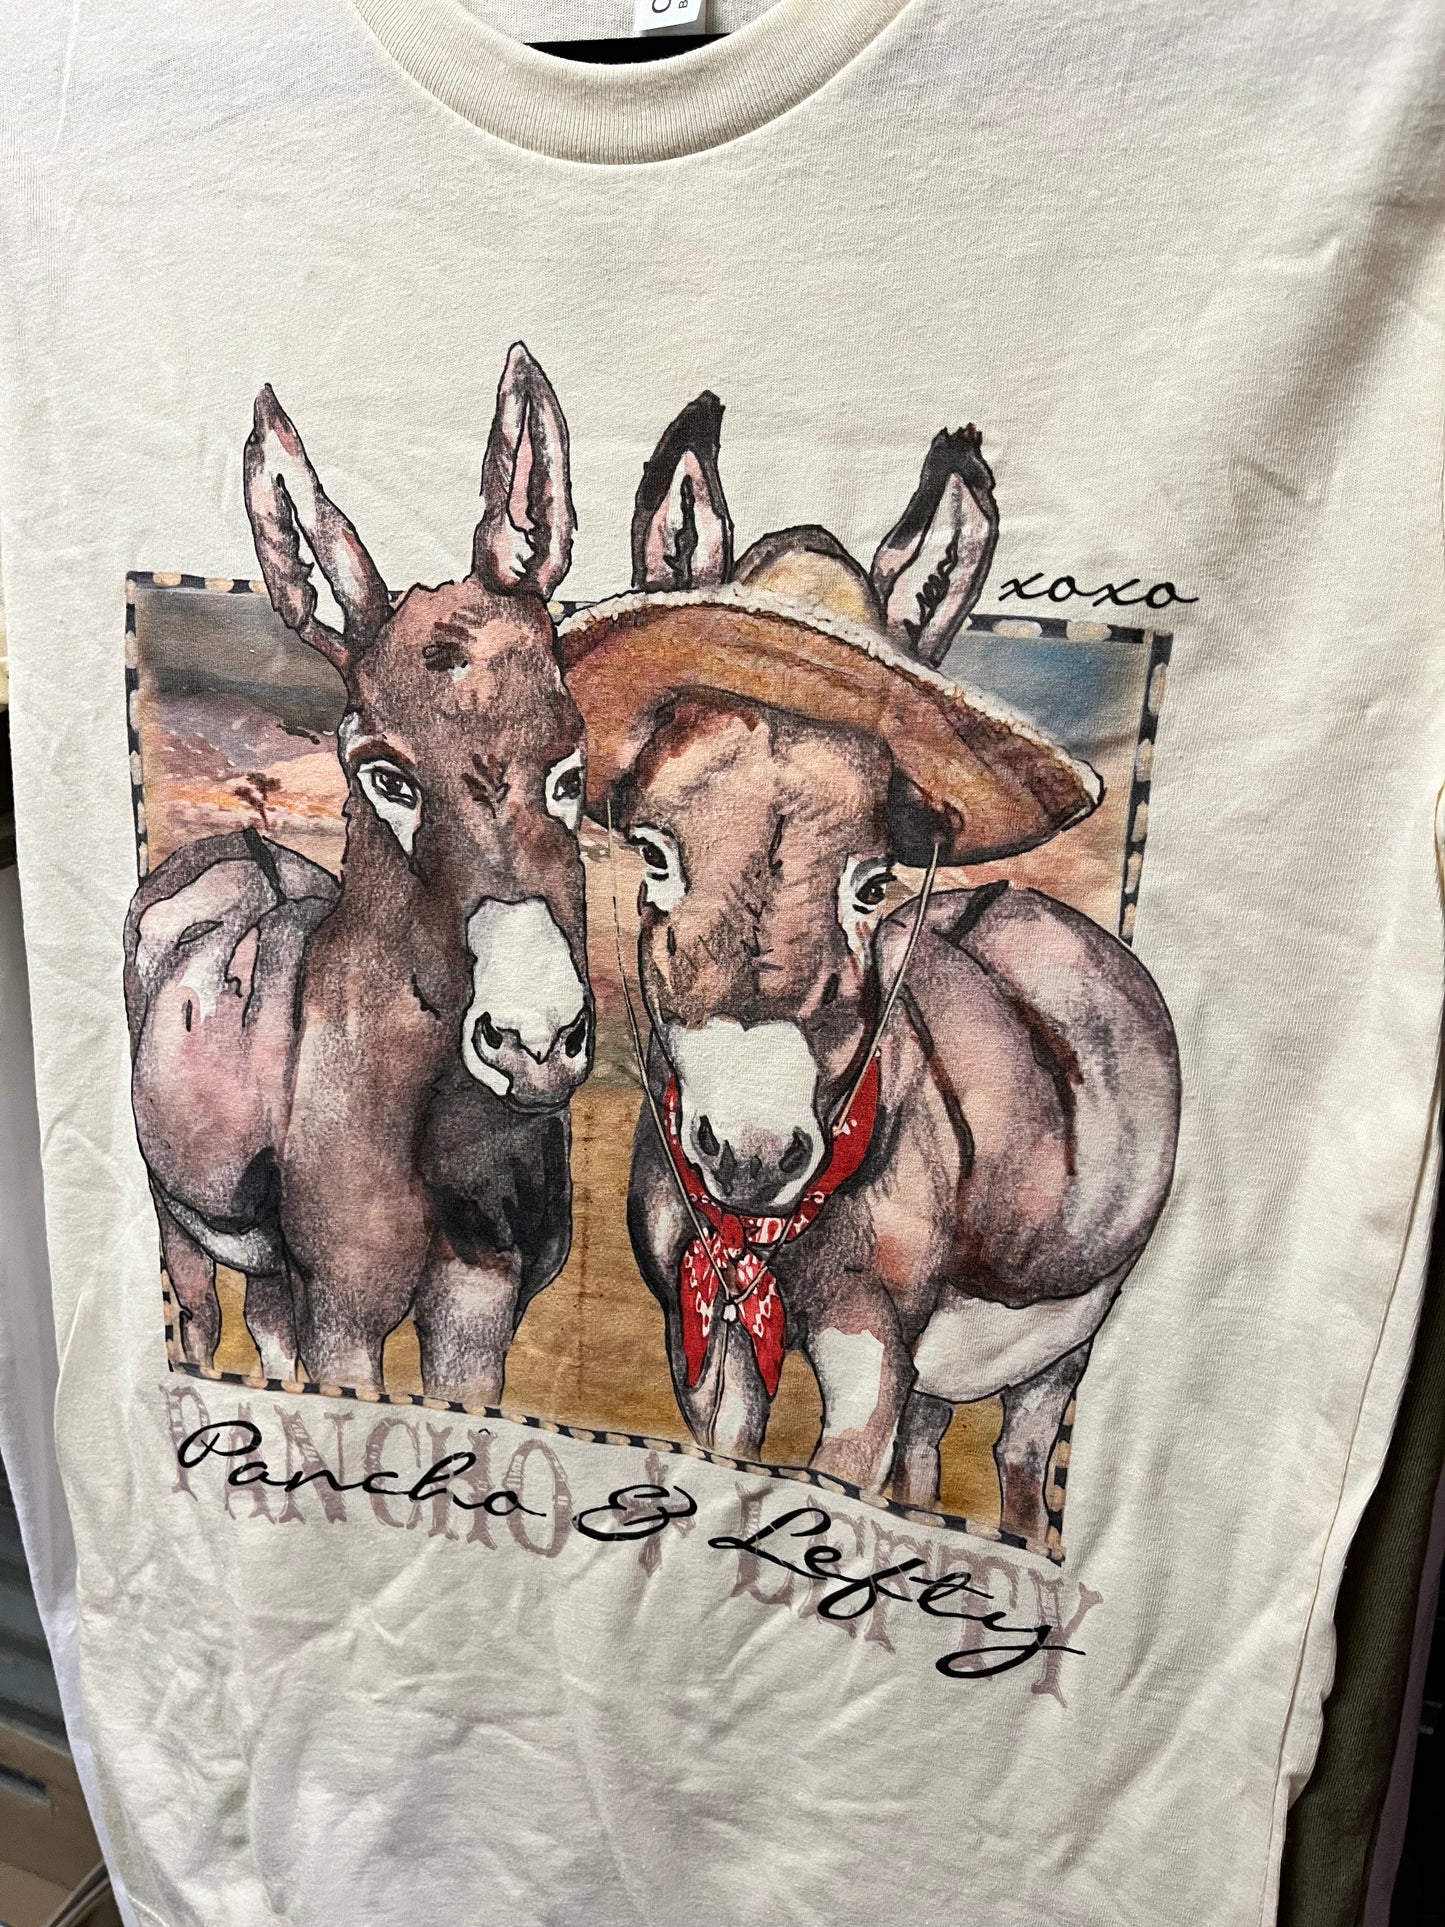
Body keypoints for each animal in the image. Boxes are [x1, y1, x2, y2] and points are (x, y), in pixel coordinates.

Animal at [124, 344, 594, 1403]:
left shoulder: (480, 1307)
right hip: (180, 1218)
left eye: (569, 766)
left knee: (263, 1324)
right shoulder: (344, 1313)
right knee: (201, 1314)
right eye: (384, 775)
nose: (536, 1041)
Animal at [562, 394, 1180, 1549]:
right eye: (654, 854)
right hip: (949, 1370)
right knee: (930, 1453)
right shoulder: (704, 1343)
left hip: (1064, 1341)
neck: (760, 1241)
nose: (752, 1155)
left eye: (874, 882)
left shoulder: (866, 1357)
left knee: (1020, 1459)